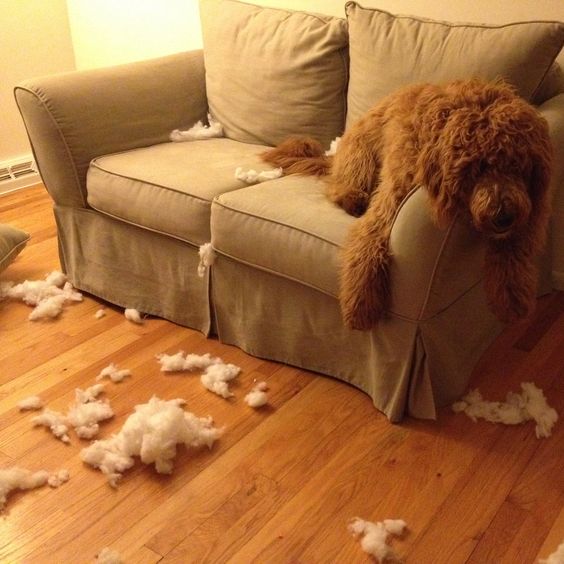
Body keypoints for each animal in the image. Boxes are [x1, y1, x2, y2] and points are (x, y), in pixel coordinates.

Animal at [262, 77, 552, 328]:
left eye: (518, 165)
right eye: (477, 168)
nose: (503, 217)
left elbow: (515, 250)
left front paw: (513, 297)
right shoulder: (389, 201)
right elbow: (367, 244)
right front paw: (361, 304)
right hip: (360, 157)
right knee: (340, 186)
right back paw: (352, 199)